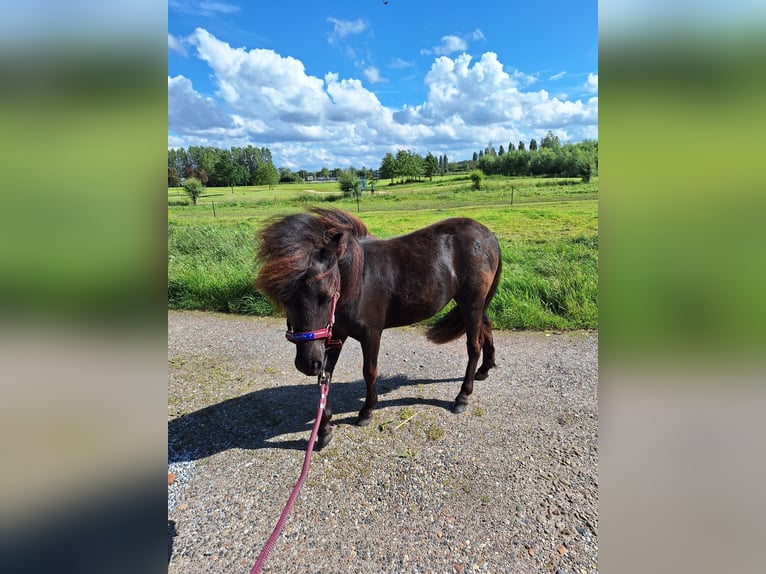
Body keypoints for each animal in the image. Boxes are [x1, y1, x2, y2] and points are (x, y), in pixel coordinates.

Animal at [258, 209, 504, 452]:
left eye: (326, 296)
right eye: (285, 298)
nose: (307, 363)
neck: (357, 280)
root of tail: (488, 234)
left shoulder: (371, 334)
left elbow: (369, 372)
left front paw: (366, 412)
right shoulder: (334, 335)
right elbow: (325, 377)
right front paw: (324, 430)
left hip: (471, 302)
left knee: (474, 346)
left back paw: (462, 396)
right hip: (472, 303)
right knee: (486, 327)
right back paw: (484, 369)